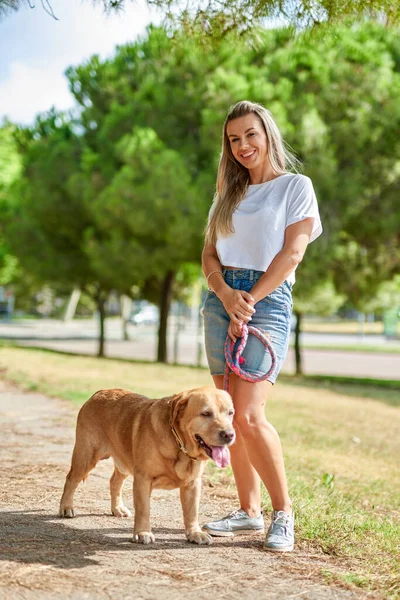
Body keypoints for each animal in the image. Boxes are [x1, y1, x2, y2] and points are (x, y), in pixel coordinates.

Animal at [58, 386, 234, 548]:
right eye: (206, 414)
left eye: (230, 413)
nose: (229, 434)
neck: (179, 445)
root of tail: (100, 392)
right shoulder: (143, 479)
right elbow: (143, 510)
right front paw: (143, 533)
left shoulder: (193, 483)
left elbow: (192, 512)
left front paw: (195, 533)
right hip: (86, 456)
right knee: (71, 479)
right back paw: (66, 507)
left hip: (123, 462)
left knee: (114, 481)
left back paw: (117, 508)